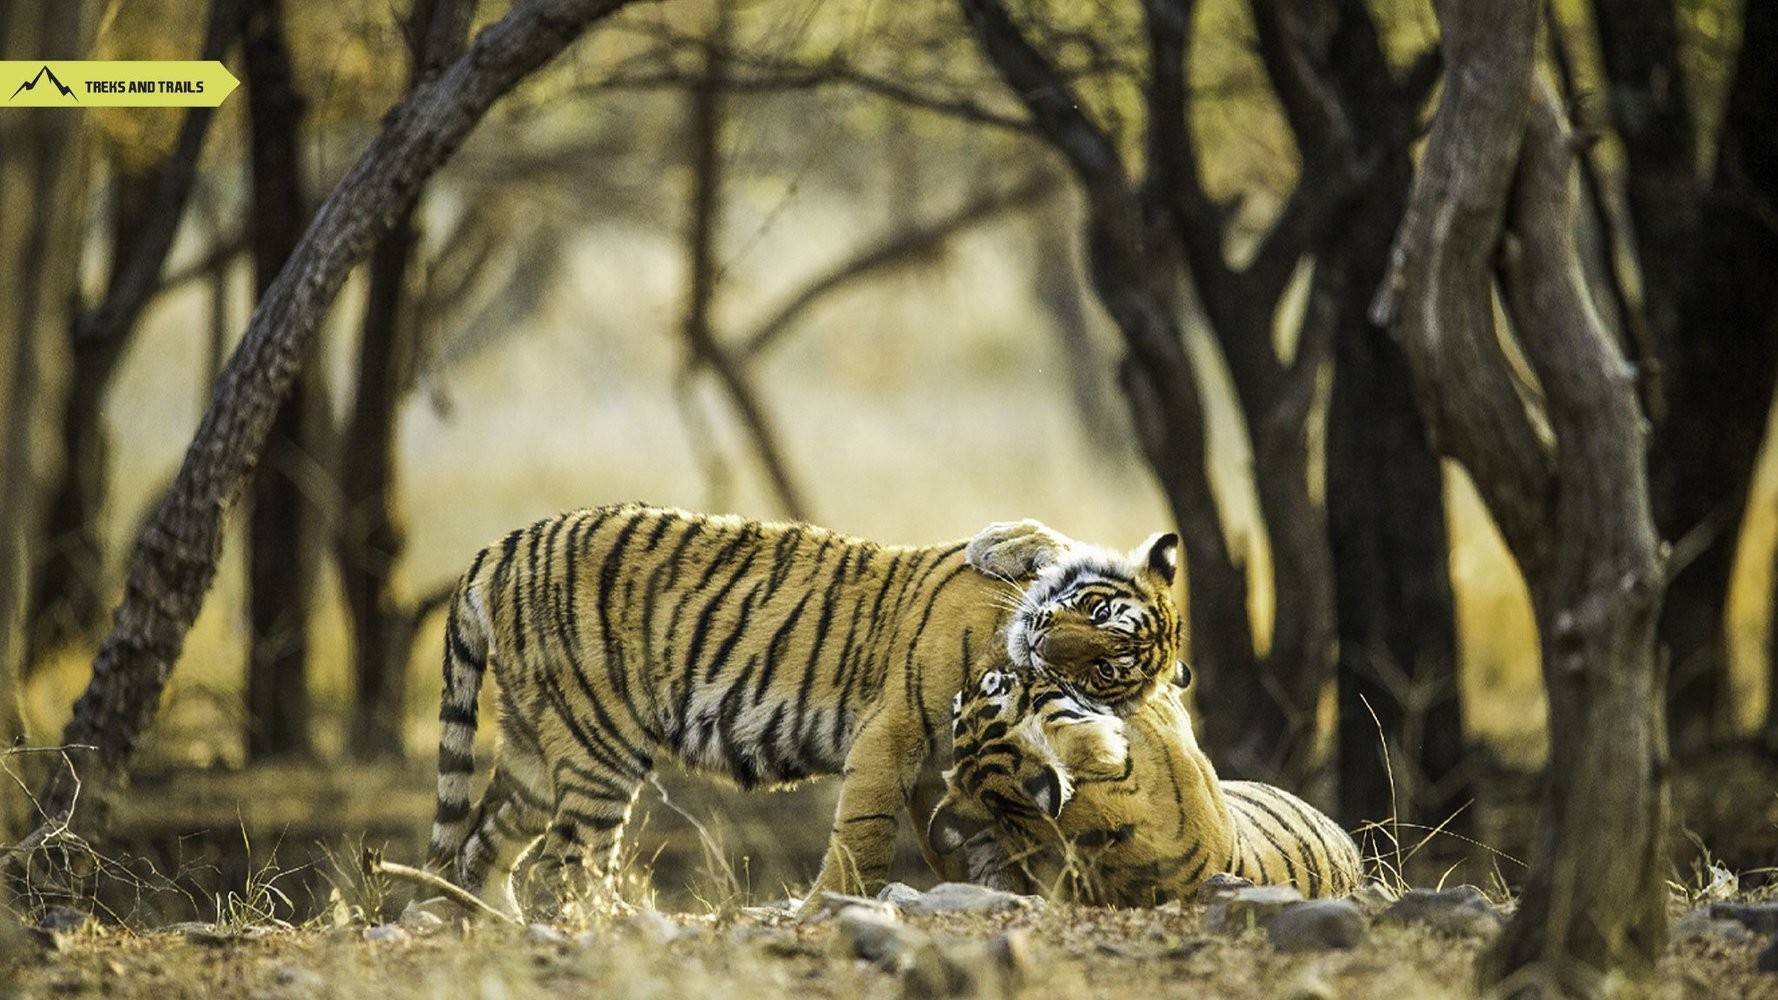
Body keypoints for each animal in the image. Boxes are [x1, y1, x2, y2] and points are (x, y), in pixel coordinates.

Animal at [424, 498, 1180, 911]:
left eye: (1105, 671)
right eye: (1098, 611)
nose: (1046, 643)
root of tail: (501, 547)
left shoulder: (953, 769)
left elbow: (987, 842)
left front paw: (999, 895)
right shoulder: (894, 730)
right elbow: (866, 833)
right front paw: (829, 903)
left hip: (539, 744)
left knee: (485, 843)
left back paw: (499, 928)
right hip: (598, 743)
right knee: (568, 863)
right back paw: (615, 932)